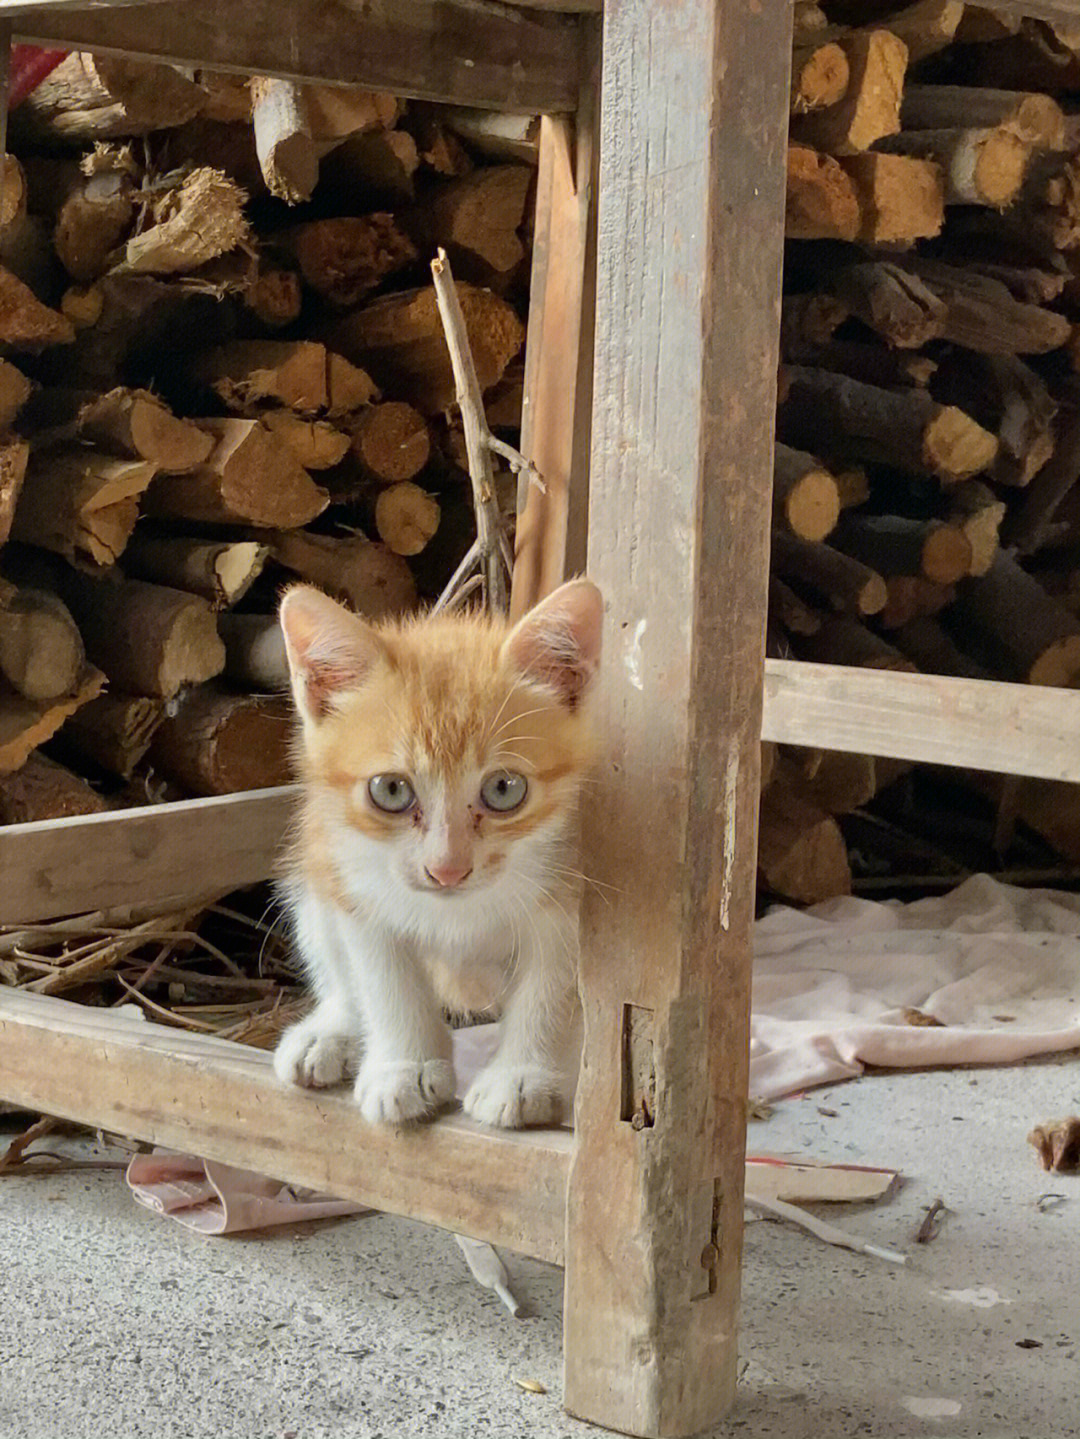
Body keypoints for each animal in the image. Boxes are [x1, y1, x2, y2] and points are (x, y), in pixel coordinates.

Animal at [274, 578, 603, 1128]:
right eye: (390, 790)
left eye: (504, 789)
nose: (447, 869)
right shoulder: (356, 890)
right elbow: (385, 982)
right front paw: (403, 1067)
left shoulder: (571, 889)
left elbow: (549, 990)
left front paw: (522, 1076)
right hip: (317, 861)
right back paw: (329, 1032)